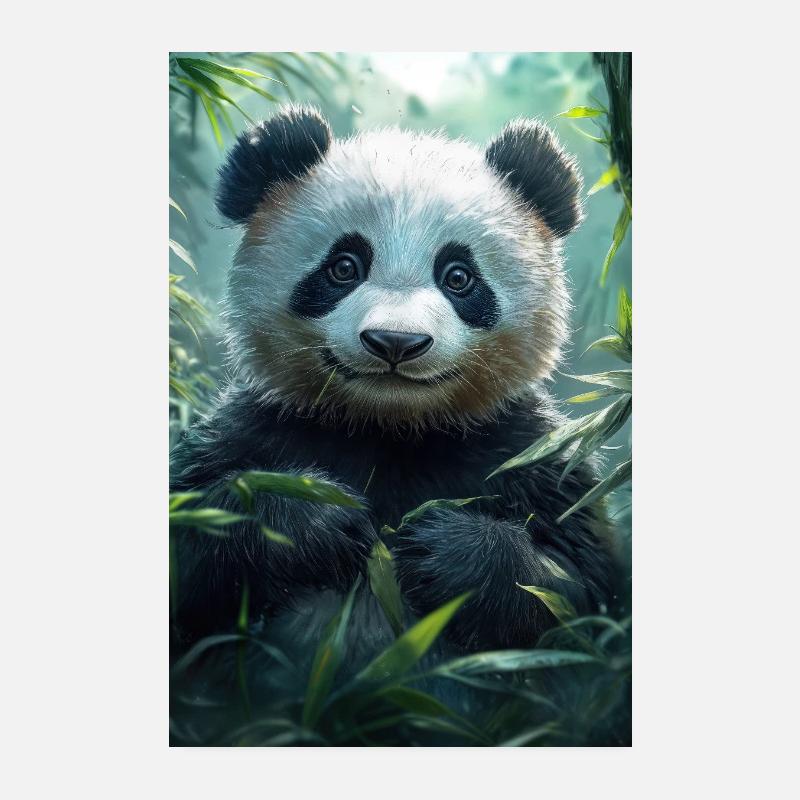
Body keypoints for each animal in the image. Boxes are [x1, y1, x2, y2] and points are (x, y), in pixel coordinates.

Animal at [170, 104, 615, 665]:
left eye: (459, 277)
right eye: (343, 267)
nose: (396, 342)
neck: (389, 427)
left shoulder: (526, 452)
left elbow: (580, 587)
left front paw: (437, 548)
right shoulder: (257, 428)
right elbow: (191, 543)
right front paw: (322, 521)